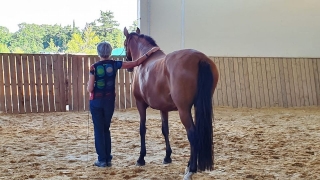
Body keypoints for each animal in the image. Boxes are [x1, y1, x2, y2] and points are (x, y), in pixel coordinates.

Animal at [124, 27, 219, 180]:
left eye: (125, 43)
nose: (128, 65)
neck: (145, 60)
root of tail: (200, 58)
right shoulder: (163, 108)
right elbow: (165, 130)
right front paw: (167, 157)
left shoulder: (140, 104)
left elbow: (142, 129)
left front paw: (141, 158)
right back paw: (189, 165)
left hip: (184, 110)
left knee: (192, 134)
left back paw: (191, 169)